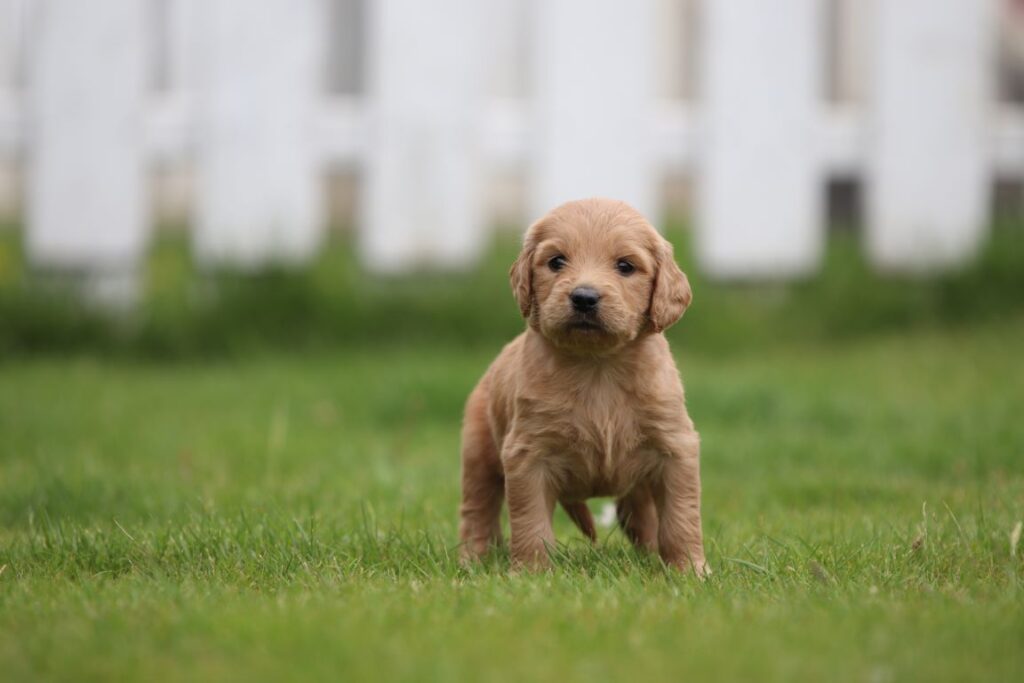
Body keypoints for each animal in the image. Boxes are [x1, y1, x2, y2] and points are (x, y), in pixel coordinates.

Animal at [460, 198, 708, 577]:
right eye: (556, 261)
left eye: (625, 266)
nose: (584, 297)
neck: (598, 366)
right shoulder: (528, 453)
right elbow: (530, 520)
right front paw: (530, 575)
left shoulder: (674, 446)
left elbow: (681, 516)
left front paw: (689, 571)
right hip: (479, 452)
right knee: (477, 508)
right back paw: (473, 560)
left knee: (642, 516)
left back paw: (650, 556)